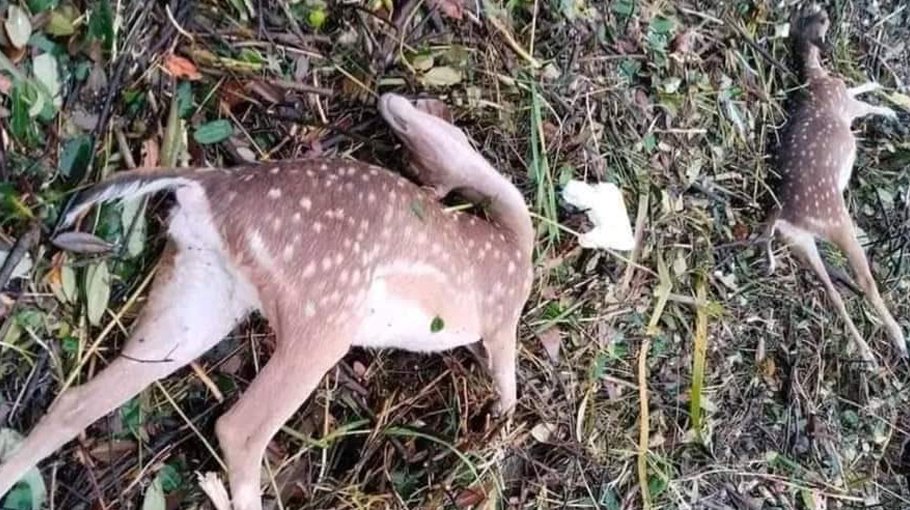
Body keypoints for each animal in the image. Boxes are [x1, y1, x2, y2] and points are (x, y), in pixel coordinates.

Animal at [0, 93, 534, 510]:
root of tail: (211, 187)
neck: (516, 243)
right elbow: (509, 384)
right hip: (323, 310)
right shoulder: (502, 318)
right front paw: (500, 431)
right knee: (238, 428)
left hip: (200, 295)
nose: (392, 103)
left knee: (77, 401)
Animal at [764, 4, 904, 365]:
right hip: (837, 221)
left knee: (832, 293)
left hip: (801, 243)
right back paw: (898, 340)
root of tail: (781, 217)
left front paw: (878, 86)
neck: (816, 77)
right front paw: (891, 110)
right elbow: (863, 102)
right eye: (815, 20)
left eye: (807, 15)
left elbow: (860, 87)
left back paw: (867, 354)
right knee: (865, 281)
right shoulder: (845, 103)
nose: (824, 10)